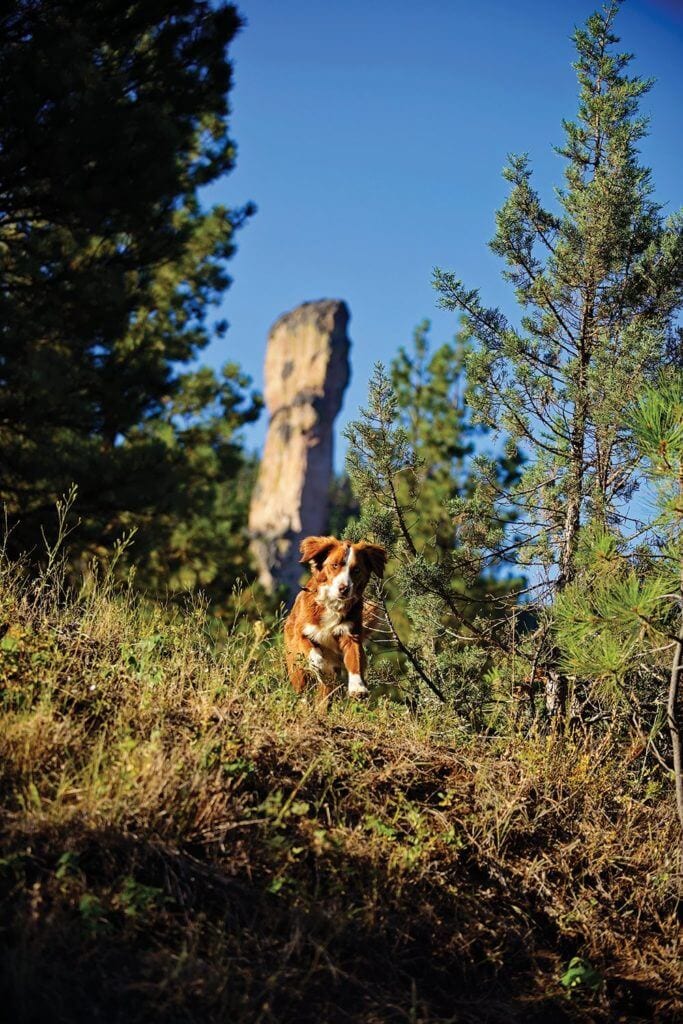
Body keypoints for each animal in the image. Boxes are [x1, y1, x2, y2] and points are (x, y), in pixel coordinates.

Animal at [284, 536, 389, 704]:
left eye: (356, 570)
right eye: (334, 565)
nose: (344, 588)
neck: (332, 604)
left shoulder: (351, 634)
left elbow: (355, 660)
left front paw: (357, 687)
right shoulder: (301, 632)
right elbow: (311, 649)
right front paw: (319, 663)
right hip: (296, 666)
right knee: (303, 687)